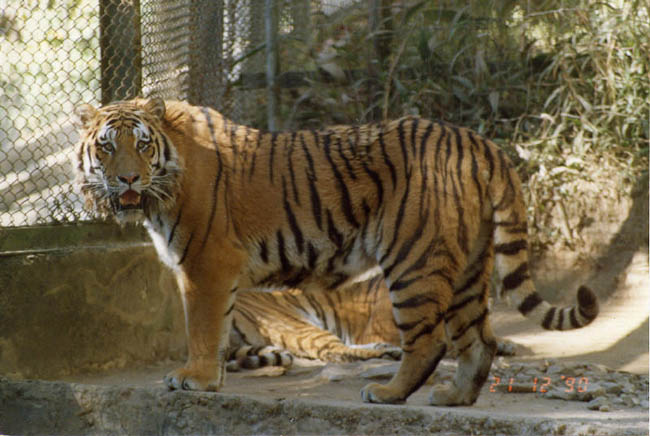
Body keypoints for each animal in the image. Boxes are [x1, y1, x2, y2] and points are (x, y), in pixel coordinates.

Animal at [72, 98, 596, 406]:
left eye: (141, 145)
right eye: (107, 147)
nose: (128, 179)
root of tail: (476, 140)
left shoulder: (206, 264)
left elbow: (202, 328)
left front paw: (195, 379)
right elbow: (214, 330)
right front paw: (210, 378)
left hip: (413, 260)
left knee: (427, 340)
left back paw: (388, 392)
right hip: (469, 265)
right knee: (479, 341)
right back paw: (453, 397)